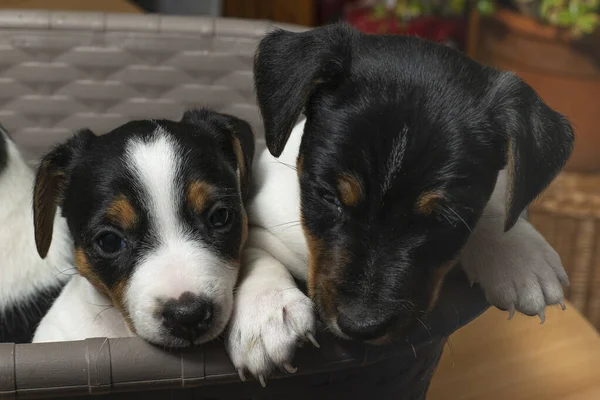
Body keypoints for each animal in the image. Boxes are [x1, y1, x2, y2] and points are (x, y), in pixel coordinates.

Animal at [224, 22, 572, 384]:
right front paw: (265, 312)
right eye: (328, 196)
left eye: (444, 218)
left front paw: (516, 253)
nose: (360, 326)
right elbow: (252, 248)